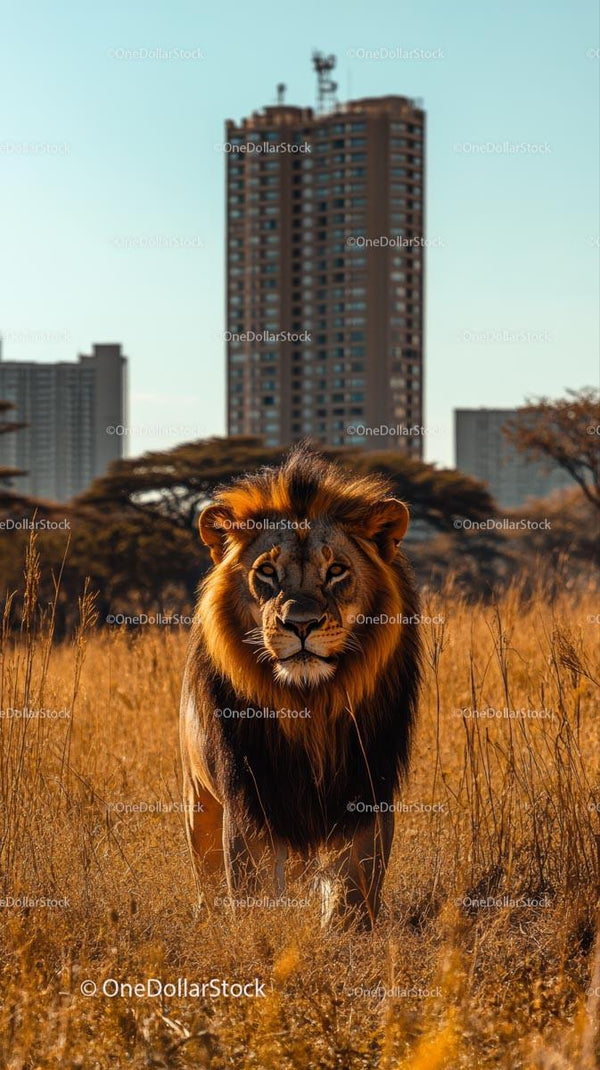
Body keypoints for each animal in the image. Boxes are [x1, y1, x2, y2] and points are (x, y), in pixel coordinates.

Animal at [180, 446, 421, 928]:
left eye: (337, 571)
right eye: (268, 572)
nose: (301, 624)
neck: (309, 704)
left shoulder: (365, 789)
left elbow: (353, 888)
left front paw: (347, 934)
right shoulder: (251, 795)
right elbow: (252, 889)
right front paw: (259, 933)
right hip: (198, 796)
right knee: (207, 873)